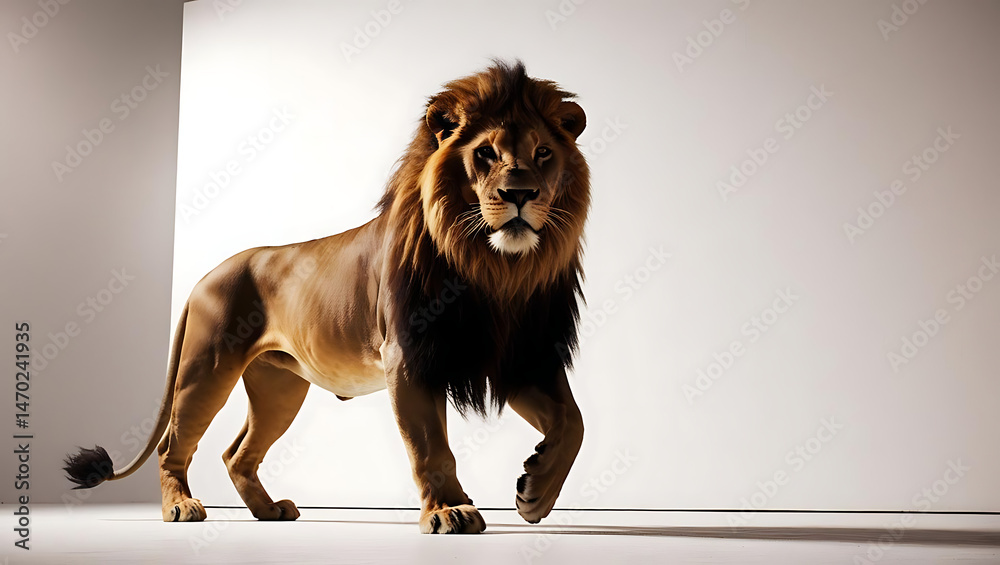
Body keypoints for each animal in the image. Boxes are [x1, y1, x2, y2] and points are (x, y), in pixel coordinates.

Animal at [64, 60, 590, 534]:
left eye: (543, 152)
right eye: (485, 153)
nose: (520, 193)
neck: (496, 269)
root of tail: (203, 278)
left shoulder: (521, 355)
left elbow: (573, 422)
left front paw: (534, 493)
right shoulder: (408, 355)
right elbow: (430, 446)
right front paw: (449, 511)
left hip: (278, 388)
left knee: (236, 453)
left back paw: (269, 510)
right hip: (206, 370)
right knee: (174, 444)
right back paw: (180, 506)